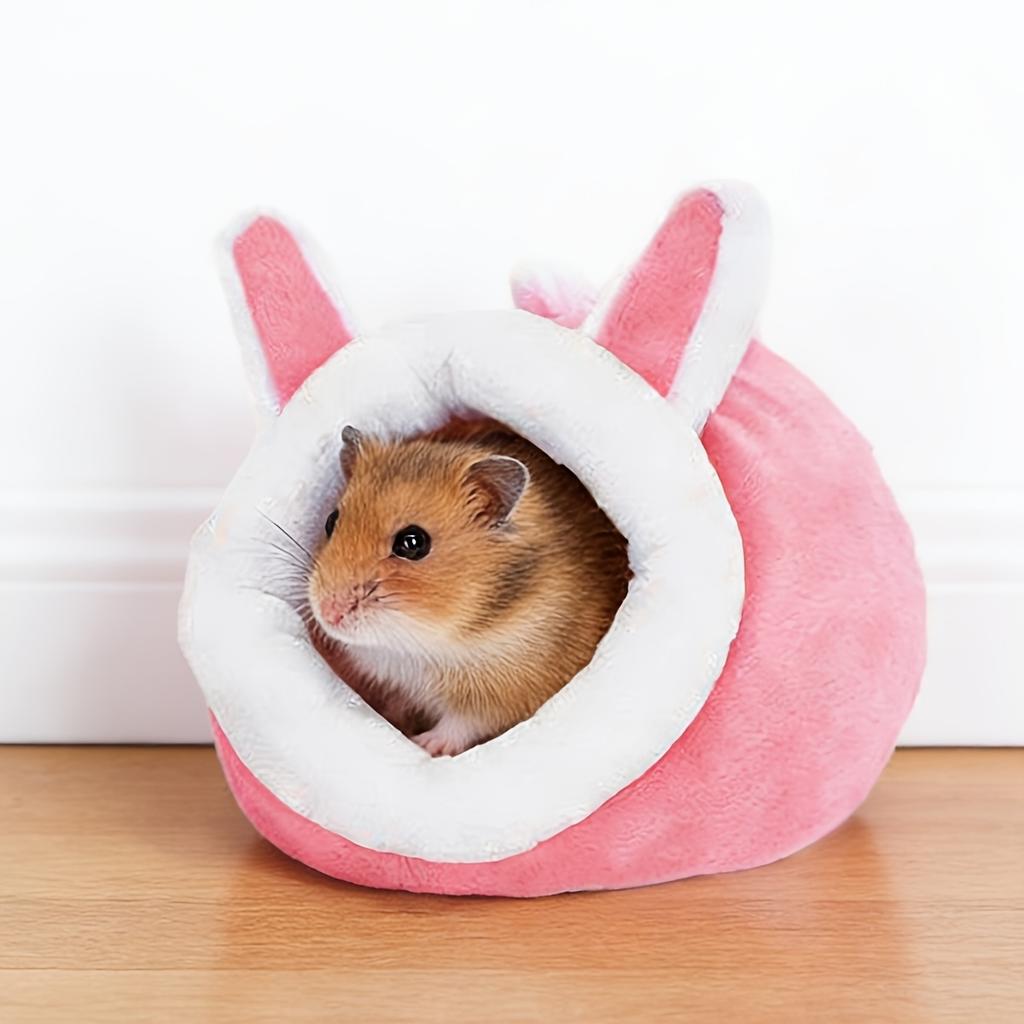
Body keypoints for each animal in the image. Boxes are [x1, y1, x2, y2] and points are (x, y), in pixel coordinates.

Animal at [307, 418, 630, 757]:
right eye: (331, 520)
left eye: (413, 543)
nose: (328, 613)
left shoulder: (500, 697)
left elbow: (460, 725)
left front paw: (425, 744)